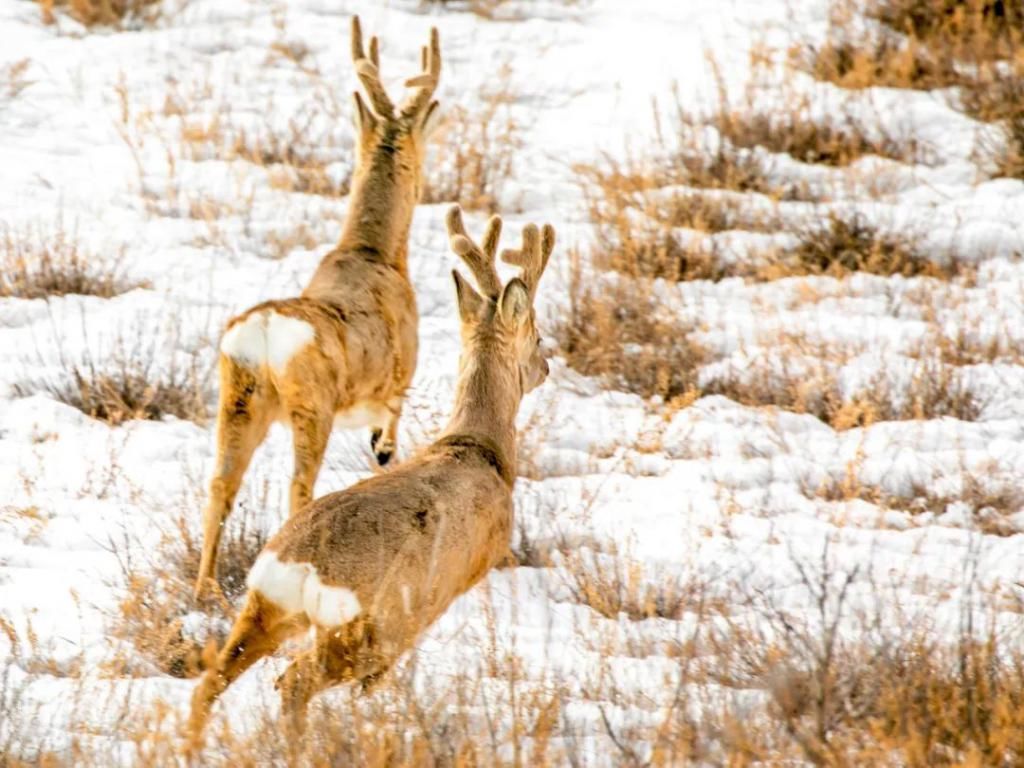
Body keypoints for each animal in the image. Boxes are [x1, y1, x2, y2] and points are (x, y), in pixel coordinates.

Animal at [184, 205, 552, 745]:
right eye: (538, 335)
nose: (547, 365)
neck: (474, 447)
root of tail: (294, 565)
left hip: (264, 612)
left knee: (211, 681)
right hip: (363, 629)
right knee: (293, 681)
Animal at [193, 13, 442, 602]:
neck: (373, 254)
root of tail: (261, 331)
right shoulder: (399, 379)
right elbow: (387, 437)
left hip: (238, 401)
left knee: (220, 484)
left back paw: (204, 588)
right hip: (313, 408)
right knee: (297, 487)